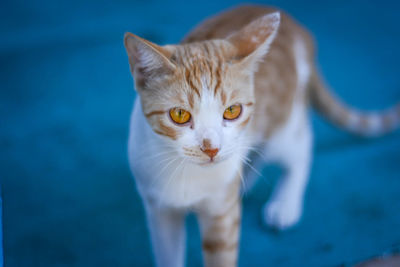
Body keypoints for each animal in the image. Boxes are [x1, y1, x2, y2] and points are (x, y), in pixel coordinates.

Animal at [123, 4, 398, 267]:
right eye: (179, 114)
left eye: (232, 111)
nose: (211, 148)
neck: (188, 173)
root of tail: (296, 26)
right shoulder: (159, 211)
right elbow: (168, 255)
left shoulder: (222, 212)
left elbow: (221, 255)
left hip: (282, 123)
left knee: (300, 148)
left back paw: (285, 203)